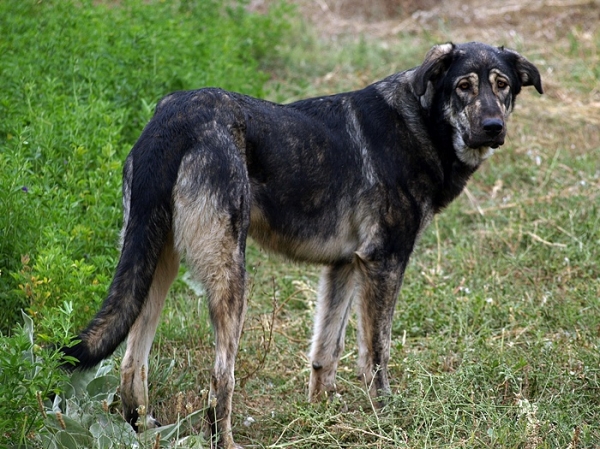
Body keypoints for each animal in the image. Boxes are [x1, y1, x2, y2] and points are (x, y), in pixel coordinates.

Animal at [64, 43, 544, 448]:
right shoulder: (384, 264)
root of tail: (173, 119)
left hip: (155, 263)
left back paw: (143, 429)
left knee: (132, 362)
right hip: (231, 278)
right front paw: (385, 415)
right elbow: (376, 353)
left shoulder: (345, 266)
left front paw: (322, 414)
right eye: (464, 86)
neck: (420, 122)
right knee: (221, 378)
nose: (493, 127)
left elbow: (325, 351)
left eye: (502, 85)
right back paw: (226, 441)